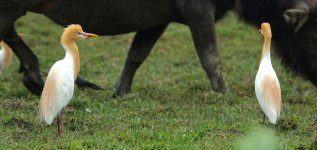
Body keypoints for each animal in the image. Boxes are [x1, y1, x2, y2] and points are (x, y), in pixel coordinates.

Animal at [0, 0, 314, 96]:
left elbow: (137, 54)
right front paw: (224, 94)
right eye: (315, 32)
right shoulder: (198, 10)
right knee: (7, 31)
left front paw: (120, 91)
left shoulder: (157, 21)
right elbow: (210, 57)